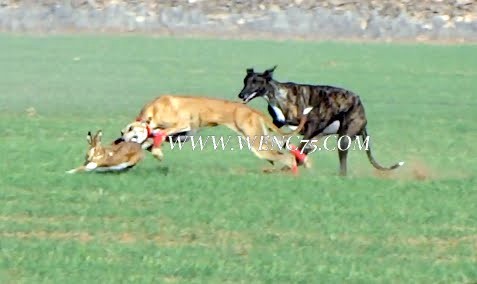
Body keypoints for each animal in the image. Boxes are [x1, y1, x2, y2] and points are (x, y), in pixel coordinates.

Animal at [118, 95, 312, 173]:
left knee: (287, 157)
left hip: (256, 143)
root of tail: (250, 109)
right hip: (261, 139)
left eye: (129, 129)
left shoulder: (183, 123)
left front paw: (156, 151)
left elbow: (161, 134)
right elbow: (152, 140)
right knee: (284, 154)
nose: (119, 139)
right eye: (123, 131)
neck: (154, 108)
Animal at [236, 66, 404, 175]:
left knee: (341, 165)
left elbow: (297, 147)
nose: (241, 95)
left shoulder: (312, 125)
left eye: (255, 82)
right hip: (321, 137)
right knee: (305, 152)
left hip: (344, 138)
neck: (277, 96)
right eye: (245, 81)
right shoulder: (279, 124)